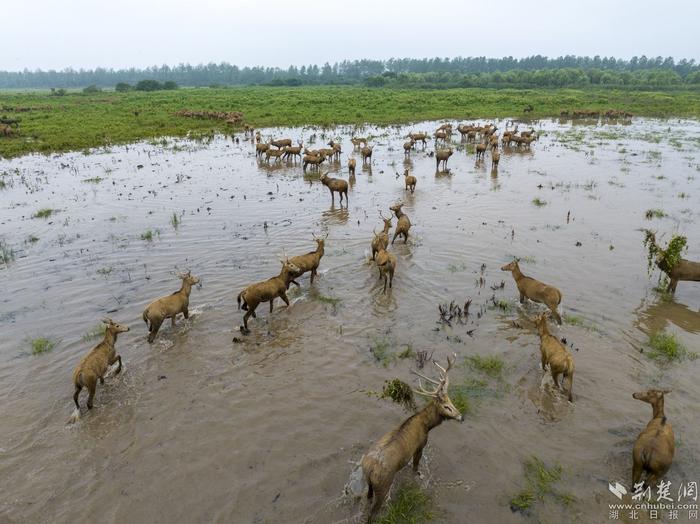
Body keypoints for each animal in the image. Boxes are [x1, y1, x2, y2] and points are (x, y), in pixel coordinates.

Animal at [360, 354, 464, 520]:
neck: (427, 425)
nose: (461, 417)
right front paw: (418, 477)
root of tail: (369, 469)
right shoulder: (420, 446)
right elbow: (415, 468)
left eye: (451, 401)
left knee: (368, 497)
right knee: (372, 513)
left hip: (370, 485)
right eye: (446, 406)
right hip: (383, 485)